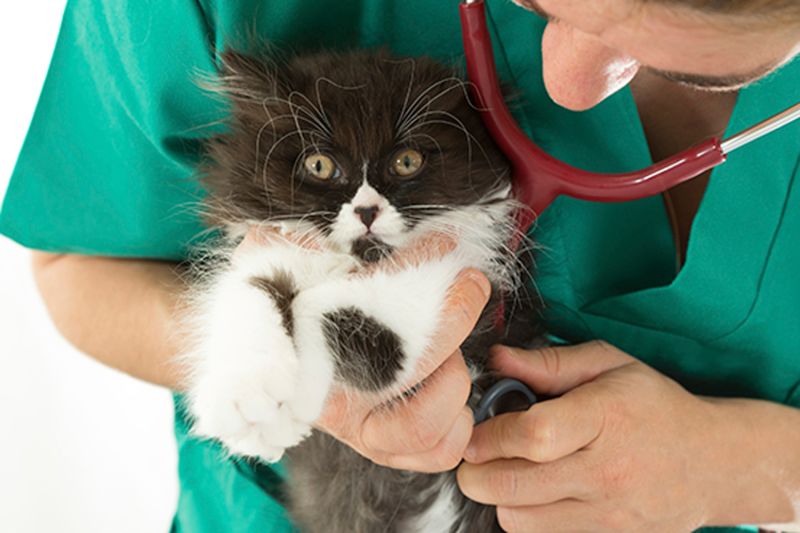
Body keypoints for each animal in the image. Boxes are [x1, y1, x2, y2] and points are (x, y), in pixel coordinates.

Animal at [182, 47, 544, 528]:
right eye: (319, 165)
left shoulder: (457, 285)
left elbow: (315, 309)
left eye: (406, 161)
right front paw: (246, 406)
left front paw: (286, 407)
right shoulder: (265, 252)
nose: (367, 210)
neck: (359, 262)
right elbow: (254, 290)